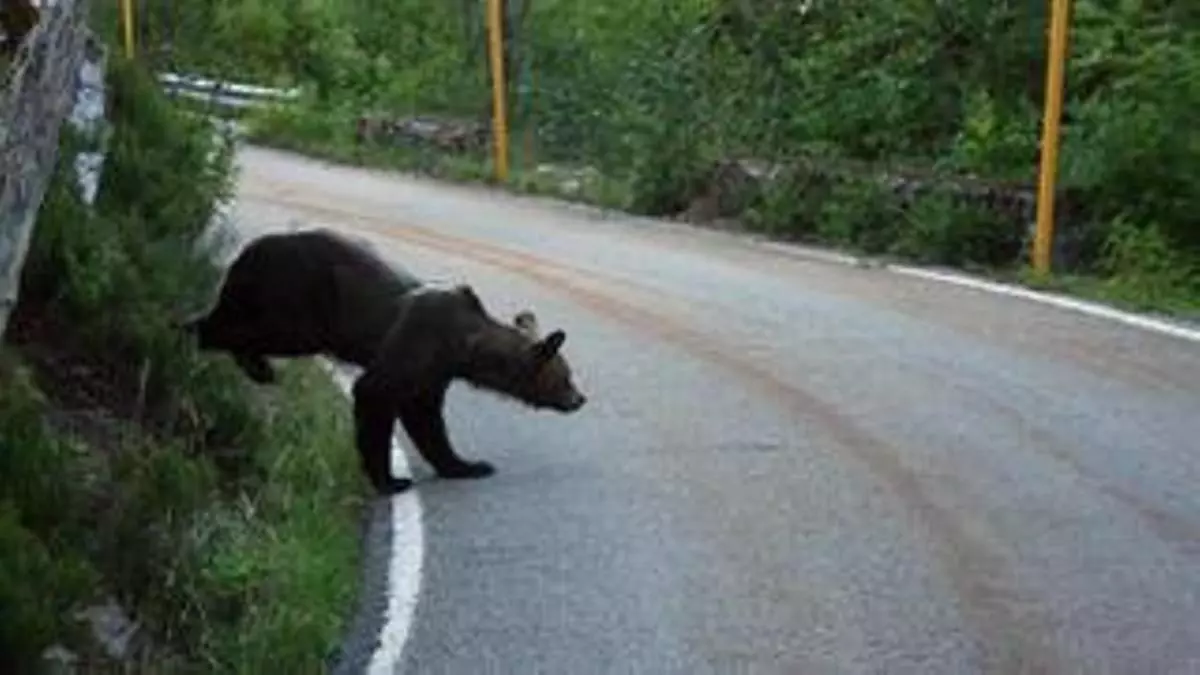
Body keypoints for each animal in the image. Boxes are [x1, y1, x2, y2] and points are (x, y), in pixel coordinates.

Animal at [351, 283, 587, 495]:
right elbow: (374, 392)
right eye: (567, 377)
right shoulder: (415, 344)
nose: (580, 399)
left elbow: (425, 416)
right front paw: (388, 480)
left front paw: (466, 466)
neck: (463, 348)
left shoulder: (434, 373)